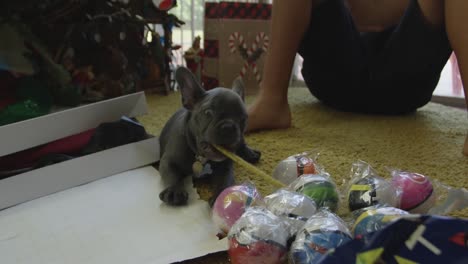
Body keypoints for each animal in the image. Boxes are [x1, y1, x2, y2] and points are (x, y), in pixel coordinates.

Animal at [157, 66, 260, 206]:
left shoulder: (225, 166)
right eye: (208, 112)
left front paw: (221, 196)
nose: (228, 126)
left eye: (244, 118)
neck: (201, 157)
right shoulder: (168, 161)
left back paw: (249, 153)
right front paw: (174, 190)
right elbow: (172, 175)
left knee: (242, 143)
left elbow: (225, 179)